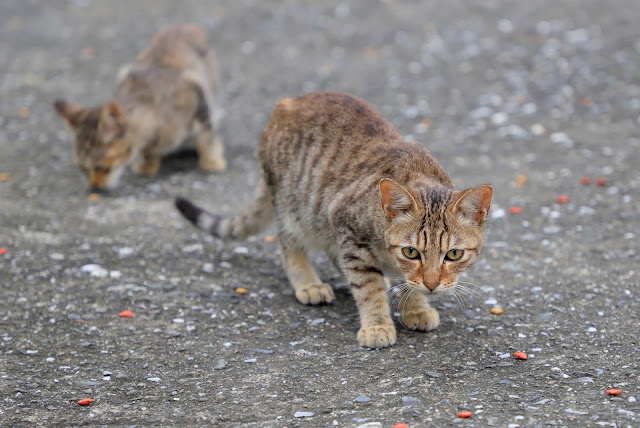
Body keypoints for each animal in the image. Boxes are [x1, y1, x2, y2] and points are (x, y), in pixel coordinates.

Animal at [53, 23, 226, 190]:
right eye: (82, 168)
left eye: (99, 167)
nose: (94, 187)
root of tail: (186, 25)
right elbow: (148, 151)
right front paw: (148, 164)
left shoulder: (197, 91)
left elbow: (207, 136)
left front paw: (211, 161)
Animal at [178, 92, 492, 350]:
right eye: (411, 252)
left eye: (454, 254)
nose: (432, 285)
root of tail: (283, 105)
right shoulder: (347, 225)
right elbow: (368, 288)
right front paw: (378, 323)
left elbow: (397, 282)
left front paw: (414, 305)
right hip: (297, 210)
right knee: (287, 243)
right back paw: (309, 283)